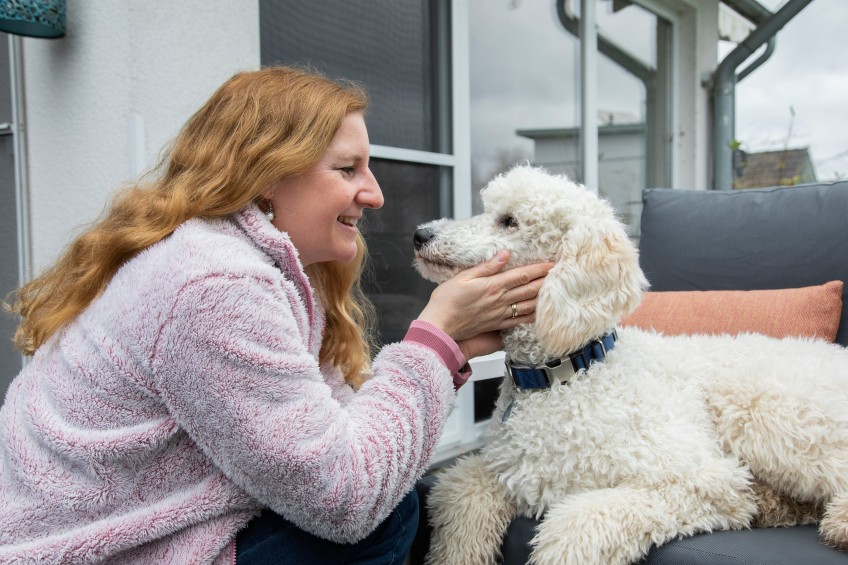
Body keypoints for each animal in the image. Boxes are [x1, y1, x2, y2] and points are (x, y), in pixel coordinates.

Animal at [414, 165, 848, 560]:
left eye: (509, 221)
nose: (421, 235)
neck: (569, 372)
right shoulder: (503, 472)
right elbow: (459, 496)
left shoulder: (700, 478)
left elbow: (575, 527)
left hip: (770, 416)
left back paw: (837, 523)